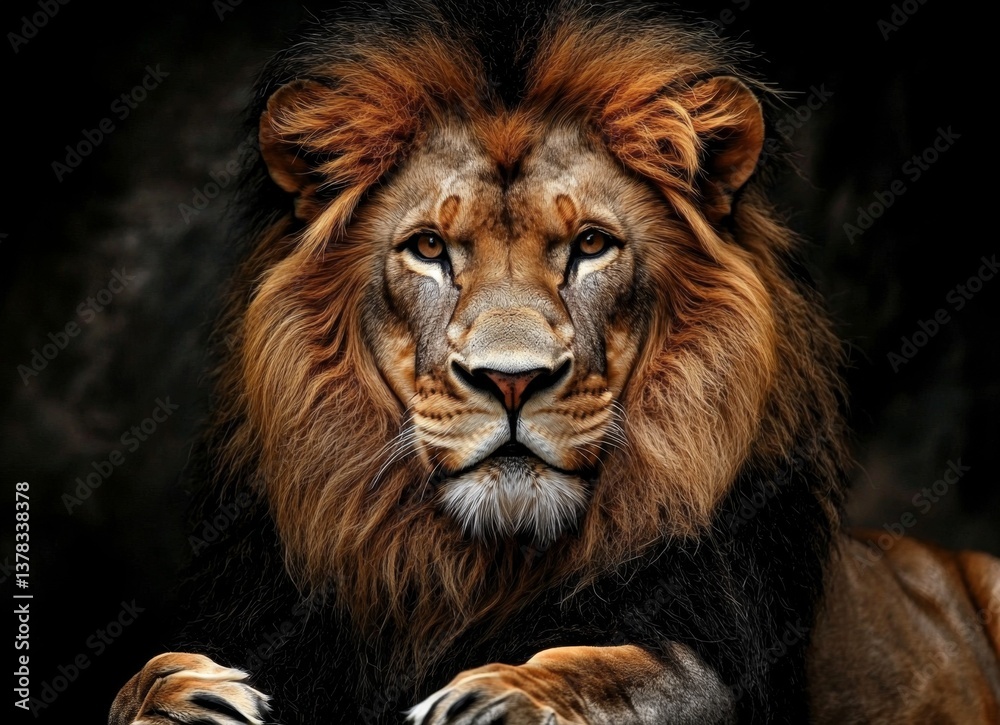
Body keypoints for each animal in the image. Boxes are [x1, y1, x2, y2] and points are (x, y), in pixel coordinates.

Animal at [110, 3, 1000, 724]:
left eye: (591, 245)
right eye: (429, 248)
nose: (512, 378)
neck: (483, 568)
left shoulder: (717, 661)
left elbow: (638, 675)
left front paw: (500, 693)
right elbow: (139, 681)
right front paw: (185, 693)